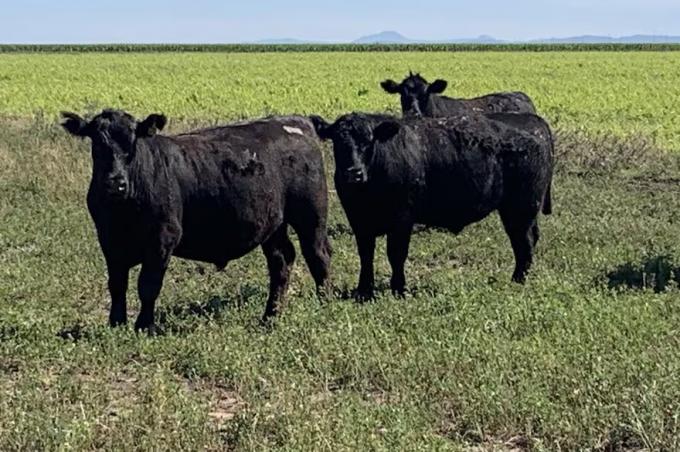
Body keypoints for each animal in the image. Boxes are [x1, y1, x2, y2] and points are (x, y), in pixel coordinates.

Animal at [61, 109, 331, 332]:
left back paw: (325, 302)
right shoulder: (109, 240)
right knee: (281, 261)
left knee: (318, 254)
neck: (123, 210)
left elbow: (148, 285)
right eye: (98, 145)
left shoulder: (163, 238)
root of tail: (296, 120)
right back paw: (270, 317)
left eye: (132, 144)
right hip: (273, 224)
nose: (116, 183)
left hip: (311, 215)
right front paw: (116, 324)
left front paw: (144, 326)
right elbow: (117, 285)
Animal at [311, 112, 553, 299]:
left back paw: (517, 280)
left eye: (368, 141)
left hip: (521, 208)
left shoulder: (402, 219)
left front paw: (399, 289)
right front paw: (364, 290)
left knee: (524, 242)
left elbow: (396, 254)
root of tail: (533, 120)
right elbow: (366, 255)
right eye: (339, 142)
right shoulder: (359, 221)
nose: (354, 173)